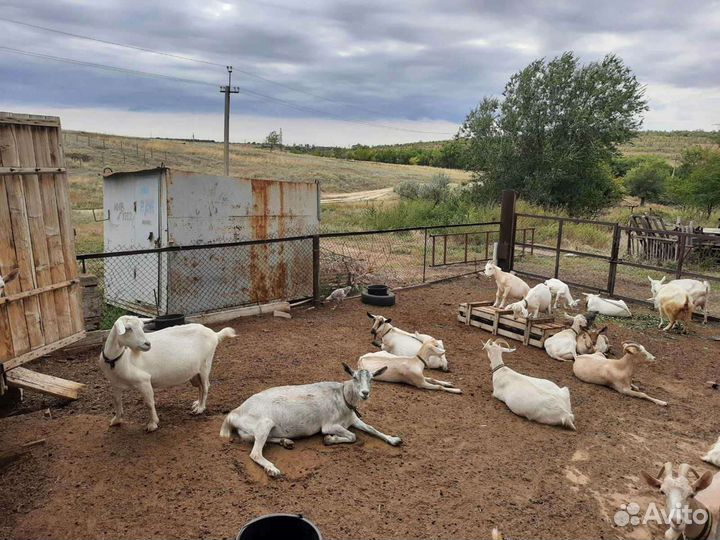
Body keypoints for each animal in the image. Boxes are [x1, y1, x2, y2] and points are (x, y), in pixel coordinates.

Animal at [100, 315, 237, 432]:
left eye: (142, 327)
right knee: (200, 387)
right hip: (194, 373)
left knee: (206, 386)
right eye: (128, 328)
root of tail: (214, 334)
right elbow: (117, 401)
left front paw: (153, 424)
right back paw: (197, 404)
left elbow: (149, 403)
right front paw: (116, 420)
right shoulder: (115, 383)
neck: (119, 359)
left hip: (205, 364)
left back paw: (200, 409)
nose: (147, 344)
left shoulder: (144, 381)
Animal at [220, 363, 401, 477]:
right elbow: (352, 436)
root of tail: (233, 413)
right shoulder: (329, 425)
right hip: (264, 423)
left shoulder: (353, 420)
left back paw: (286, 442)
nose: (365, 393)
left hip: (256, 430)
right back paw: (272, 469)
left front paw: (393, 439)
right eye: (355, 377)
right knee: (255, 453)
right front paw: (329, 439)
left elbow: (371, 428)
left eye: (372, 379)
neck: (342, 396)